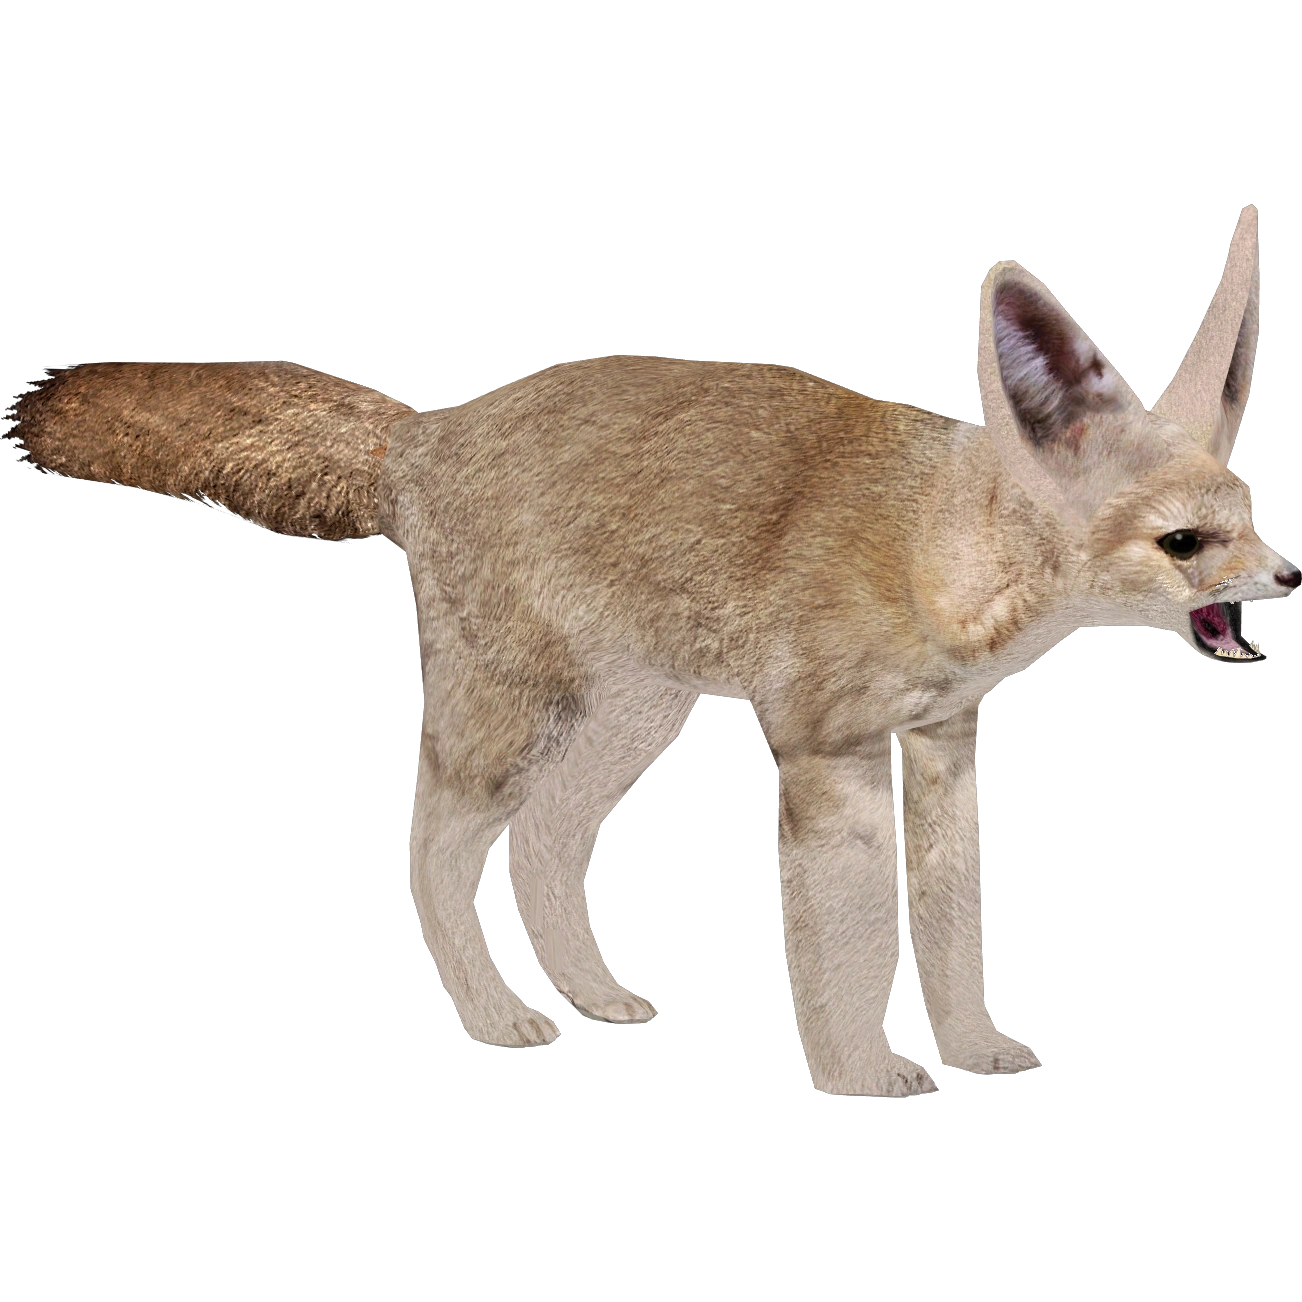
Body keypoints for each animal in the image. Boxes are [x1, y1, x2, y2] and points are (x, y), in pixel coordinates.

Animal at [10, 205, 1293, 1097]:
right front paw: (861, 1076)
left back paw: (594, 998)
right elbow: (846, 936)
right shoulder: (822, 753)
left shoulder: (941, 741)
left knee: (541, 845)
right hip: (513, 716)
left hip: (632, 721)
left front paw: (974, 1047)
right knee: (434, 847)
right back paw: (494, 1018)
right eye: (1185, 544)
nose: (1290, 576)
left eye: (1248, 514)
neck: (938, 545)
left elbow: (951, 917)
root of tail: (425, 433)